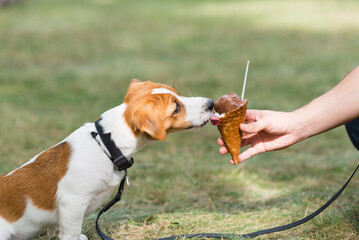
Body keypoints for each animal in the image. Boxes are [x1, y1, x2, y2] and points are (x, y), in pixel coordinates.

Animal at [0, 80, 214, 240]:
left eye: (178, 94)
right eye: (176, 108)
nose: (211, 103)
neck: (105, 145)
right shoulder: (72, 203)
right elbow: (70, 233)